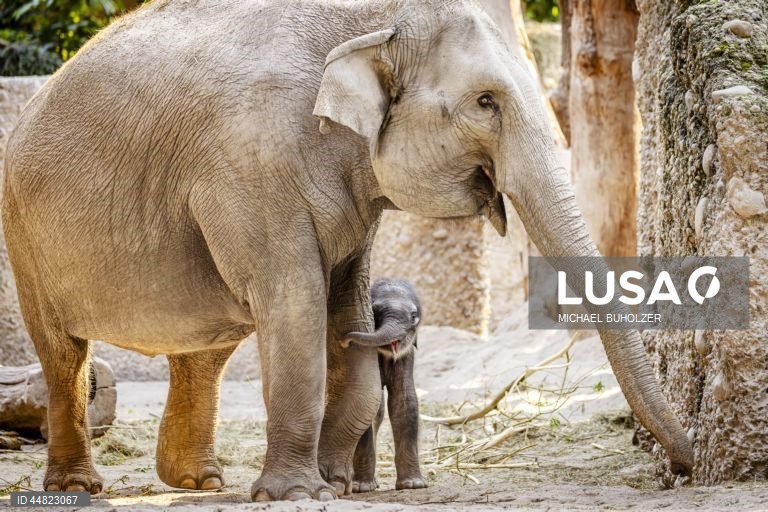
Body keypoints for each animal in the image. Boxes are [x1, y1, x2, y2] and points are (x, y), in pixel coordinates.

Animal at [344, 279, 426, 492]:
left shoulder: (406, 355)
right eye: (375, 311)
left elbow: (404, 401)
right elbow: (363, 401)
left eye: (413, 317)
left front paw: (412, 484)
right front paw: (362, 487)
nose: (346, 340)